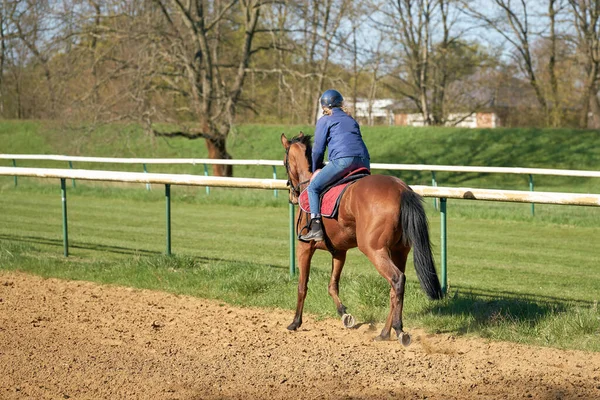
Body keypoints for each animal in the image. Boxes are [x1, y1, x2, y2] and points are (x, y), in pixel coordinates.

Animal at [280, 133, 440, 346]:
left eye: (284, 162)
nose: (292, 195)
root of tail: (401, 189)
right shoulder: (339, 252)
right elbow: (332, 285)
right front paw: (344, 314)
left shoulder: (304, 247)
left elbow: (302, 286)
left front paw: (295, 322)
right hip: (399, 251)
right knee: (395, 288)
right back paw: (385, 332)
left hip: (373, 249)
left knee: (397, 280)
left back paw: (398, 329)